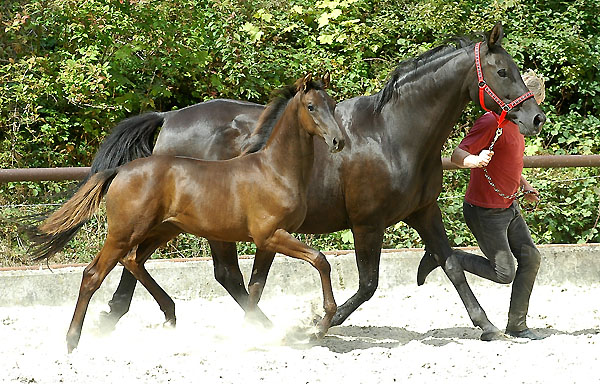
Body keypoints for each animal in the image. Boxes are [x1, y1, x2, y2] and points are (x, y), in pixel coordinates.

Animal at [70, 23, 544, 340]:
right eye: (503, 72)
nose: (535, 117)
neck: (392, 133)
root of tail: (168, 117)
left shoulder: (424, 213)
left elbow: (451, 266)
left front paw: (486, 325)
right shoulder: (367, 223)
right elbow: (368, 285)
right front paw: (321, 323)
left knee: (188, 269)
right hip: (202, 224)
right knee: (212, 272)